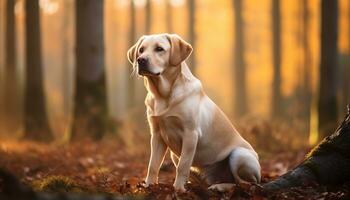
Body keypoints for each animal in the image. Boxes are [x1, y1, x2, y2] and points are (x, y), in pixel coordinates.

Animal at [127, 33, 262, 191]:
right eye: (141, 50)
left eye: (159, 49)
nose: (140, 60)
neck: (163, 95)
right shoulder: (157, 135)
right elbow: (153, 165)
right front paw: (149, 186)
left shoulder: (190, 134)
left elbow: (183, 166)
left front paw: (178, 190)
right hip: (175, 156)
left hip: (239, 155)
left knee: (244, 183)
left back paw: (219, 187)